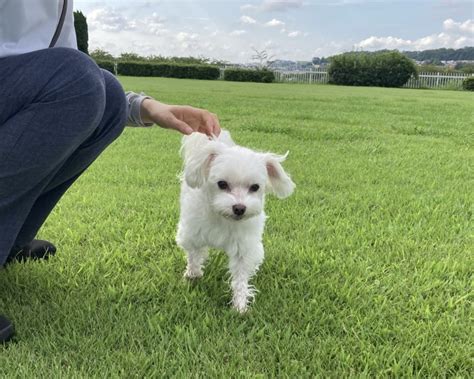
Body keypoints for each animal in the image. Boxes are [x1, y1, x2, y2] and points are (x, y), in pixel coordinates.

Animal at [176, 131, 294, 312]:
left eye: (255, 187)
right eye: (222, 184)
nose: (239, 208)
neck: (222, 217)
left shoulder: (243, 248)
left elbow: (240, 277)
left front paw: (240, 305)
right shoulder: (193, 234)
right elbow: (194, 256)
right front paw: (193, 275)